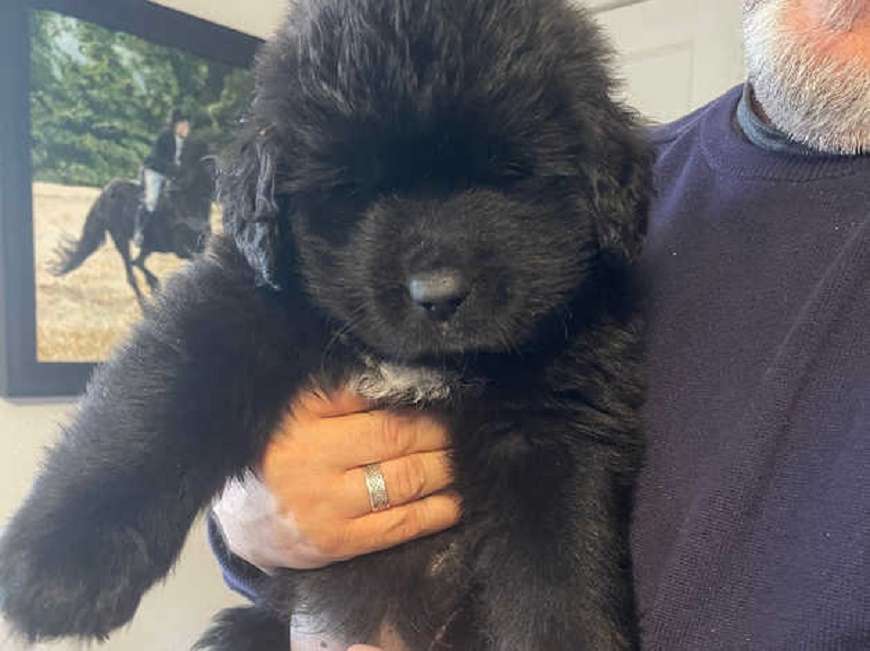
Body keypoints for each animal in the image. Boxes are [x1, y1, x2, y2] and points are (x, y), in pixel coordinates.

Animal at [52, 140, 216, 306]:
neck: (188, 208)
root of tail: (105, 192)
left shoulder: (196, 248)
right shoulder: (180, 249)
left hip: (143, 246)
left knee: (136, 263)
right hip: (121, 239)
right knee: (131, 270)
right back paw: (146, 302)